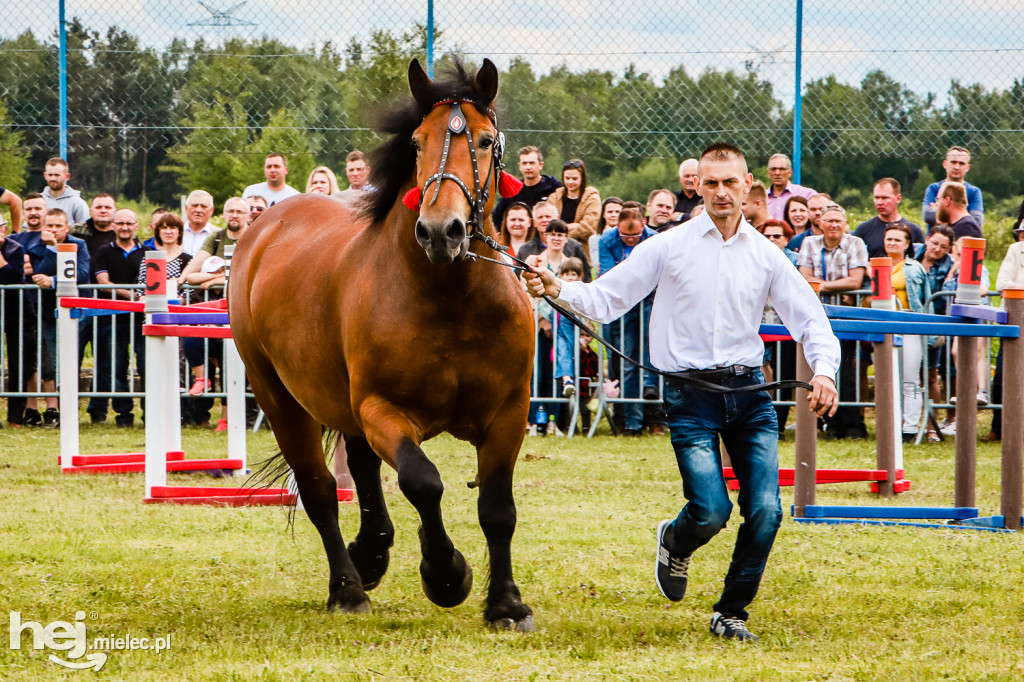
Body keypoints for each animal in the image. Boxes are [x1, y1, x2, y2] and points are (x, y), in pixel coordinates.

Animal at [230, 58, 536, 626]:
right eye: (417, 143)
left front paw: (506, 603)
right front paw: (445, 573)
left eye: (485, 141)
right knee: (321, 492)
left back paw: (370, 551)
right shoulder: (381, 410)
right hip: (280, 400)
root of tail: (266, 222)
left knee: (362, 467)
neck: (452, 299)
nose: (441, 232)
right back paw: (348, 587)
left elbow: (497, 510)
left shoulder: (510, 411)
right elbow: (423, 481)